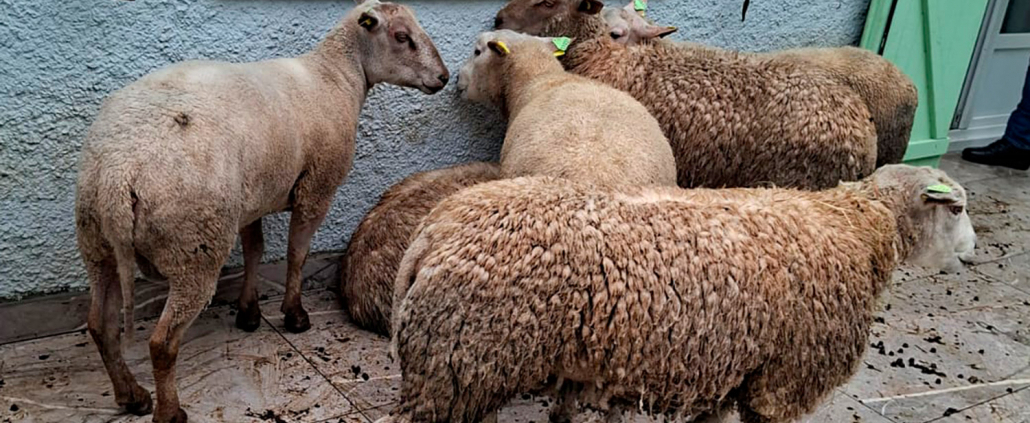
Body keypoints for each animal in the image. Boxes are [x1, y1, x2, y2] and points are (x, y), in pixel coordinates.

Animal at [74, 1, 448, 421]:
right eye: (402, 37)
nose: (444, 77)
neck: (336, 77)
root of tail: (118, 175)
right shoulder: (316, 188)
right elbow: (296, 253)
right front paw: (294, 314)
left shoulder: (252, 199)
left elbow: (254, 250)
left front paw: (249, 312)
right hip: (193, 246)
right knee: (162, 343)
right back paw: (169, 411)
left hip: (96, 242)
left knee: (100, 325)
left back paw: (131, 394)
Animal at [383, 164, 975, 423]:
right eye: (957, 208)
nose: (973, 253)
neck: (855, 227)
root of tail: (433, 233)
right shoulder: (783, 378)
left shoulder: (738, 370)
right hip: (461, 364)